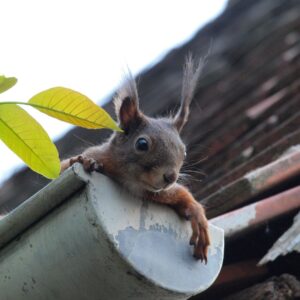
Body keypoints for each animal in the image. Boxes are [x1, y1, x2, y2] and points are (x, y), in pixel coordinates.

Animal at [60, 56, 211, 262]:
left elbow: (182, 195)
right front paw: (84, 162)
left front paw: (198, 216)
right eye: (142, 144)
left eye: (184, 151)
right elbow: (65, 167)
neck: (131, 181)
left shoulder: (158, 193)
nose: (170, 177)